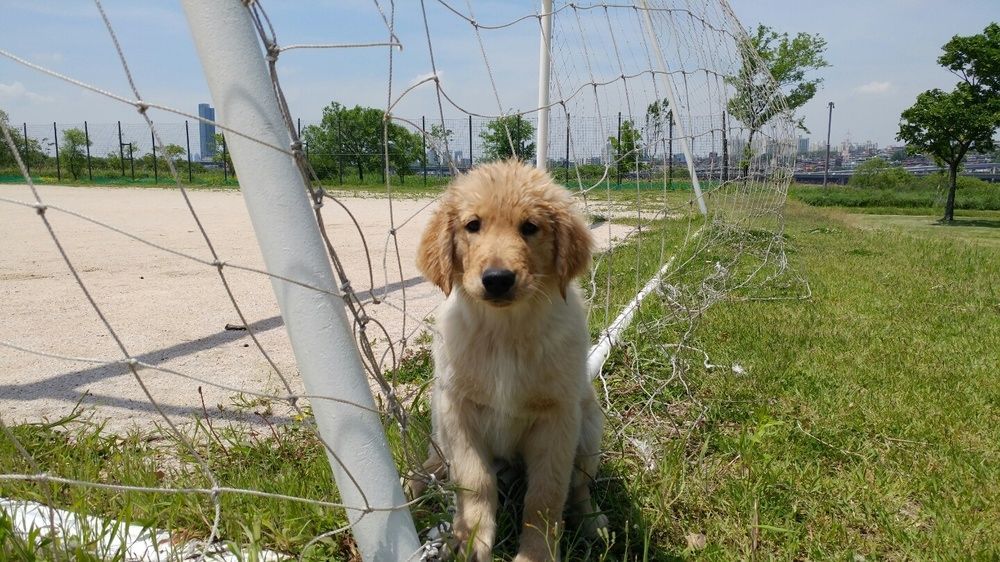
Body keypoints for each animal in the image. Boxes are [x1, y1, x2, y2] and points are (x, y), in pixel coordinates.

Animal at [412, 160, 604, 556]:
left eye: (530, 227)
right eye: (473, 225)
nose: (498, 279)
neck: (505, 333)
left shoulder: (557, 419)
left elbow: (546, 496)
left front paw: (537, 553)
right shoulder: (459, 411)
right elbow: (475, 481)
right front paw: (470, 538)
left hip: (591, 430)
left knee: (580, 486)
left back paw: (593, 522)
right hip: (439, 418)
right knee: (437, 461)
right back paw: (419, 483)